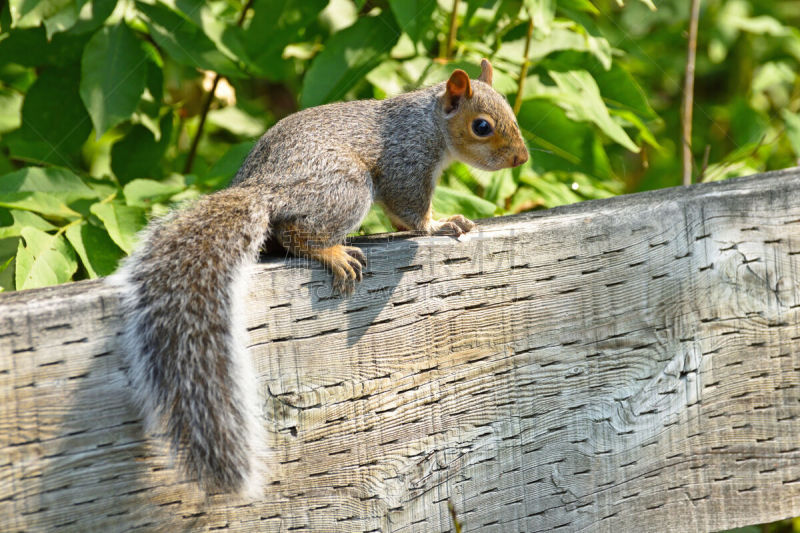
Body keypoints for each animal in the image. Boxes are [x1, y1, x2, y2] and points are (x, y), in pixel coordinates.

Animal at [109, 60, 528, 496]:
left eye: (512, 113)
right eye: (482, 126)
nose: (521, 158)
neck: (430, 122)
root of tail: (263, 188)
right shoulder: (407, 160)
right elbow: (410, 210)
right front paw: (440, 224)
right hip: (346, 187)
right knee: (295, 233)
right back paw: (332, 253)